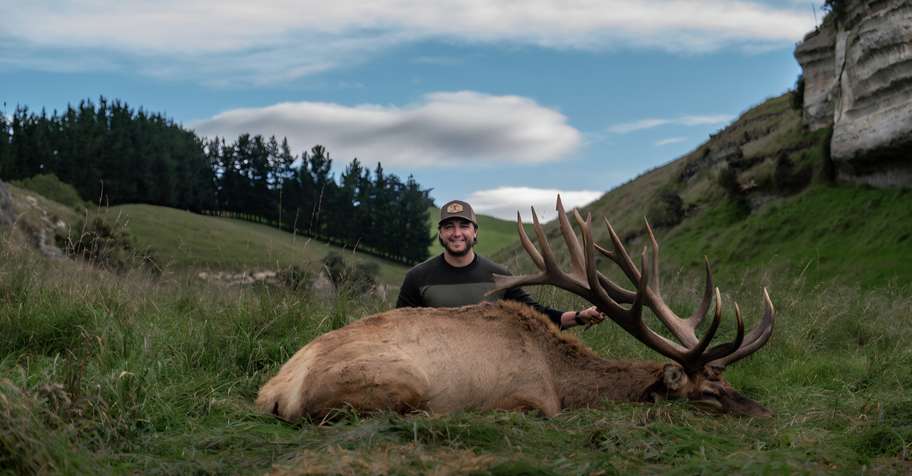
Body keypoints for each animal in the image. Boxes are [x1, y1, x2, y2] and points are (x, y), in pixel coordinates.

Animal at [256, 196, 775, 420]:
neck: (562, 380)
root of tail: (275, 392)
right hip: (398, 382)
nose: (766, 413)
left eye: (727, 382)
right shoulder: (531, 400)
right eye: (708, 393)